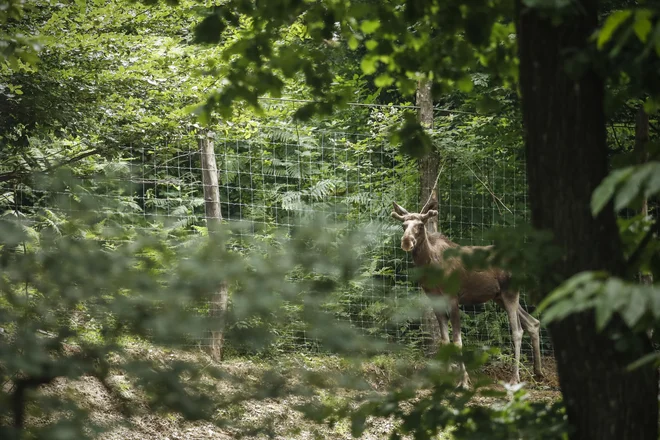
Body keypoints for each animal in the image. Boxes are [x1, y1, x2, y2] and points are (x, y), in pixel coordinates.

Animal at [392, 198, 540, 386]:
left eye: (420, 225)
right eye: (403, 225)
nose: (406, 241)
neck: (430, 266)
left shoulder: (453, 297)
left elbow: (457, 341)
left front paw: (463, 380)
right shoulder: (434, 299)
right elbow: (445, 340)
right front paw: (446, 377)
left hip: (510, 292)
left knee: (518, 331)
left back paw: (515, 378)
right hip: (498, 296)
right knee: (533, 322)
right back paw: (538, 373)